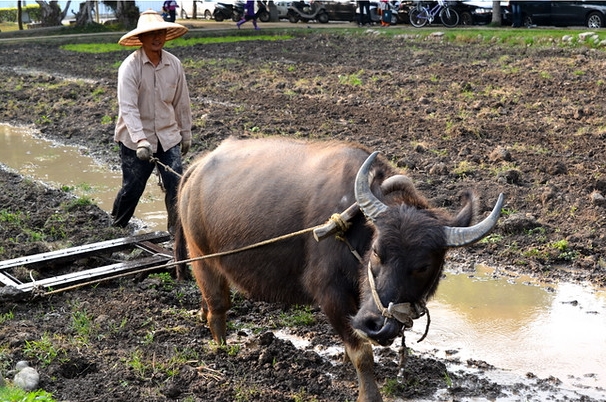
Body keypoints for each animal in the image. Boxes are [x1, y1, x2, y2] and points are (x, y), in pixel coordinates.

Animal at [175, 137, 504, 400]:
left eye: (423, 266)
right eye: (377, 251)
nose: (376, 324)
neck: (355, 229)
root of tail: (197, 168)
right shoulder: (330, 294)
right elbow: (362, 352)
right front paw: (368, 394)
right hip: (201, 256)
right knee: (218, 305)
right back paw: (221, 348)